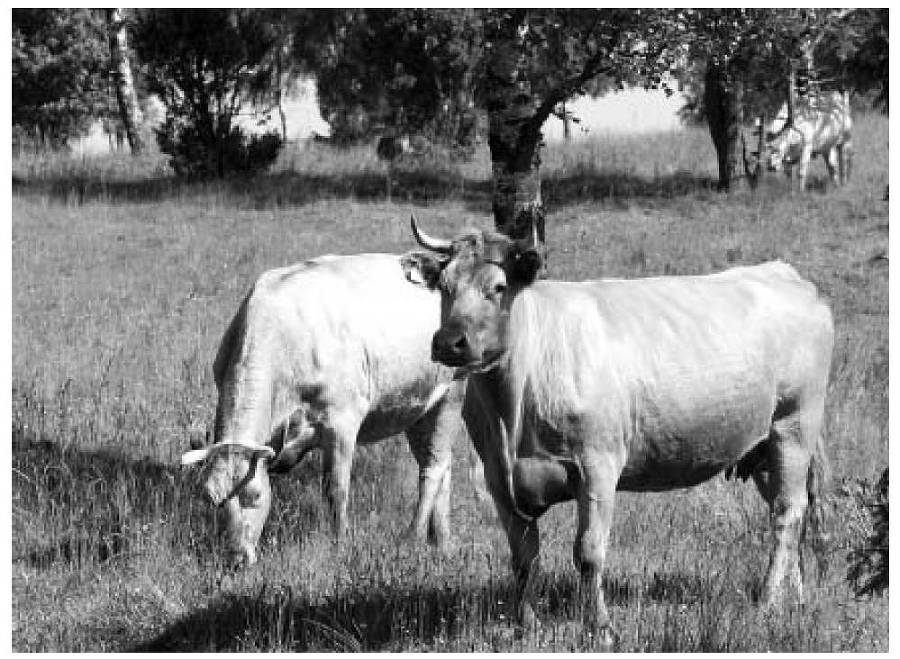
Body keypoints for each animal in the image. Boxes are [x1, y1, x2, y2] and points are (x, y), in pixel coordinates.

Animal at [404, 219, 832, 648]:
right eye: (444, 286)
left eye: (497, 287)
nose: (449, 342)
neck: (513, 407)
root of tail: (781, 271)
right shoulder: (498, 476)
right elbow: (523, 558)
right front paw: (527, 627)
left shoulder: (597, 465)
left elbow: (588, 553)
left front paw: (601, 630)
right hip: (763, 448)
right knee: (790, 509)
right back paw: (794, 595)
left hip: (794, 426)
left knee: (787, 512)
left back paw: (767, 601)